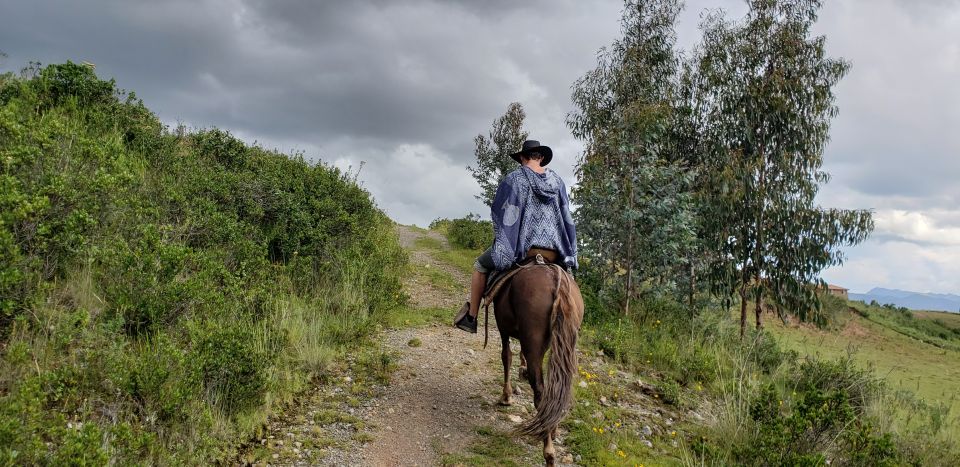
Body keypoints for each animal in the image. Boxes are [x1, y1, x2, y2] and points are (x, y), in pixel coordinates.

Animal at [488, 262, 584, 466]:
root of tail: (556, 279)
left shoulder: (503, 329)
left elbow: (506, 356)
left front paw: (506, 397)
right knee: (557, 388)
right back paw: (550, 428)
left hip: (532, 337)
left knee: (540, 390)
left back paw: (549, 453)